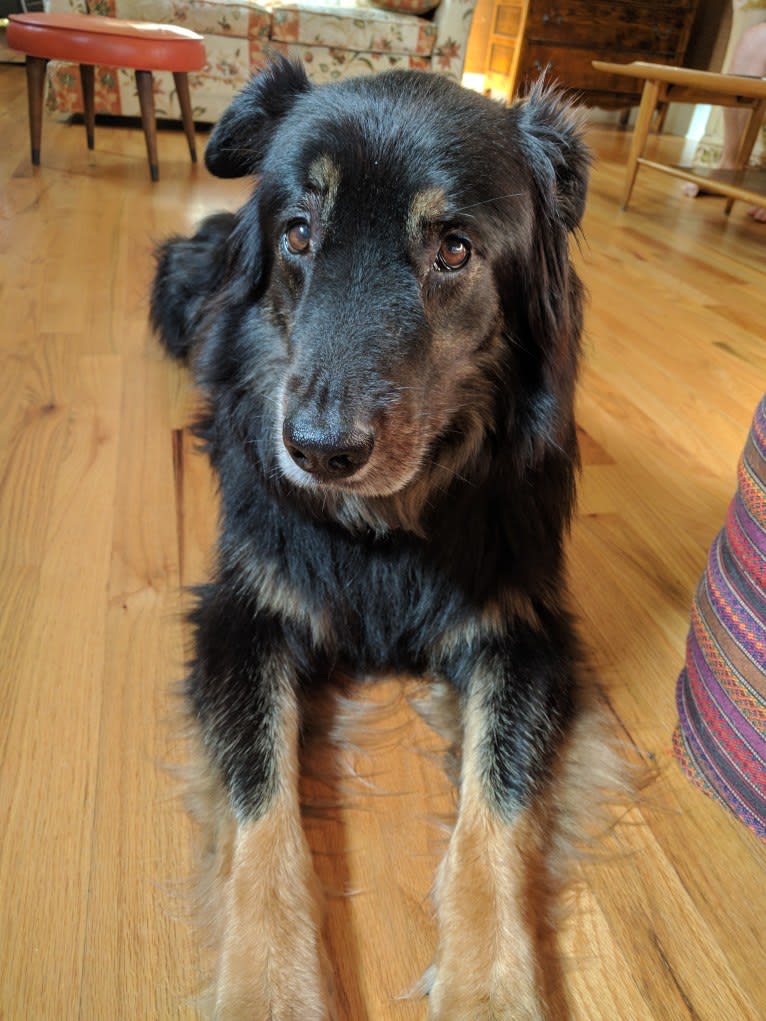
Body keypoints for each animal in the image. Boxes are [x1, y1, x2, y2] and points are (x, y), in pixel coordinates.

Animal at [153, 57, 620, 1021]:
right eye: (299, 233)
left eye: (455, 250)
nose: (319, 452)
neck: (386, 528)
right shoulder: (241, 618)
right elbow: (262, 805)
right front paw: (269, 987)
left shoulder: (526, 634)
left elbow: (497, 807)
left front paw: (490, 989)